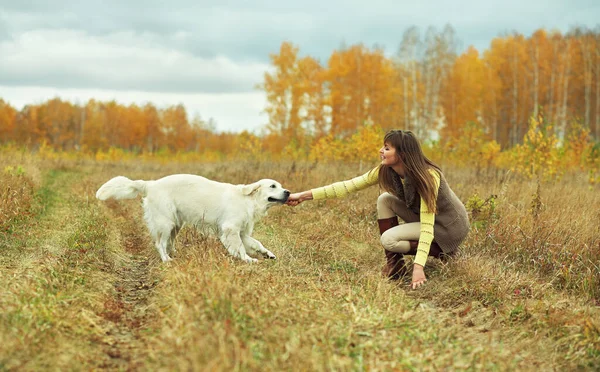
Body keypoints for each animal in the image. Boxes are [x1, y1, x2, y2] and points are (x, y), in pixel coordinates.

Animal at [95, 174, 290, 262]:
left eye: (280, 186)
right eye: (273, 186)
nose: (288, 192)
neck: (248, 200)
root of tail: (150, 184)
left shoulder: (242, 233)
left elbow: (257, 243)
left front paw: (268, 253)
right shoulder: (230, 230)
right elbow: (240, 248)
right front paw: (248, 260)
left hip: (175, 225)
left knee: (168, 243)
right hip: (166, 223)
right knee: (159, 243)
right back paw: (166, 260)